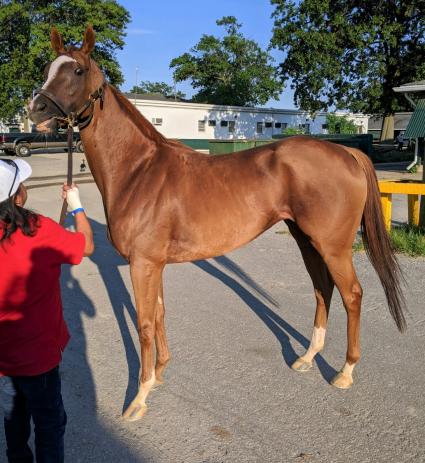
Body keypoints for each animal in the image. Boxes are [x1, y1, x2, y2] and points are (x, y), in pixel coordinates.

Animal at [28, 27, 406, 422]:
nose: (35, 110)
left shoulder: (143, 264)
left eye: (78, 71)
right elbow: (159, 315)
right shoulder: (154, 265)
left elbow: (144, 324)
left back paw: (345, 372)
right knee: (323, 289)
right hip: (307, 240)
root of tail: (347, 152)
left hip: (333, 246)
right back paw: (307, 357)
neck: (138, 171)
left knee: (352, 295)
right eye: (47, 68)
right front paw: (159, 374)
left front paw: (139, 398)